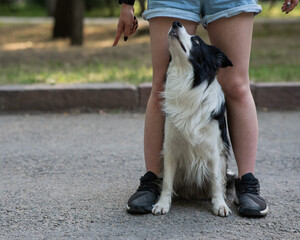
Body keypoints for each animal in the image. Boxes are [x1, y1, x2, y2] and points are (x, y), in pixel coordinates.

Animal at [152, 21, 234, 218]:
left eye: (196, 41)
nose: (175, 22)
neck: (187, 83)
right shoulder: (170, 146)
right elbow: (167, 181)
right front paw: (162, 204)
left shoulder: (214, 149)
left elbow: (216, 181)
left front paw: (220, 205)